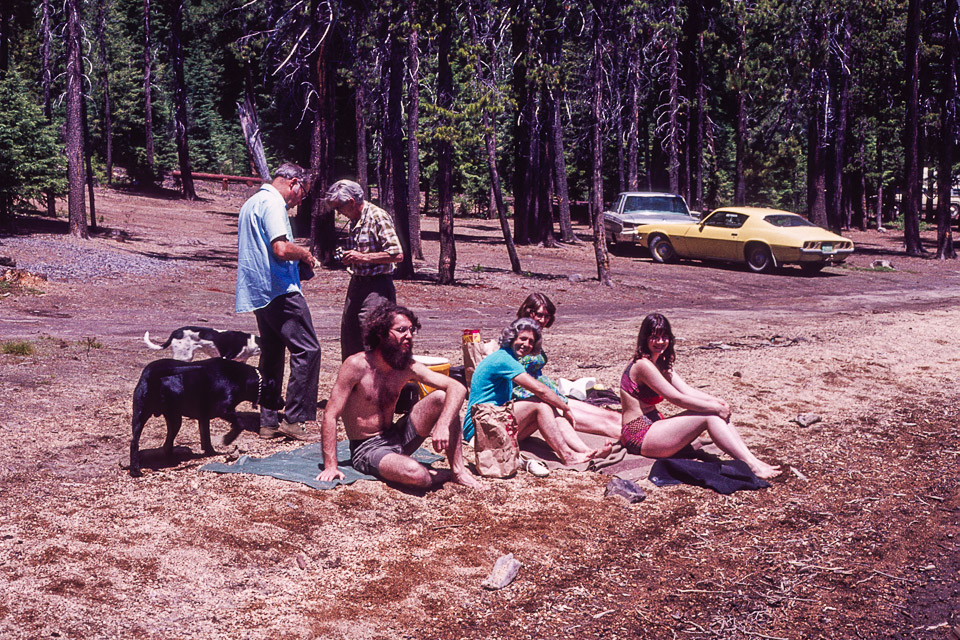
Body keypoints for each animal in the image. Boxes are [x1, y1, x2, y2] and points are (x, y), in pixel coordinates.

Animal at [129, 358, 284, 478]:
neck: (241, 378)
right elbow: (239, 423)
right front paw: (228, 439)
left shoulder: (204, 418)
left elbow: (206, 437)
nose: (283, 402)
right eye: (276, 390)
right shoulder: (224, 410)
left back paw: (137, 470)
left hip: (146, 416)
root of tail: (153, 376)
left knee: (139, 443)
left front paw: (211, 452)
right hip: (170, 417)